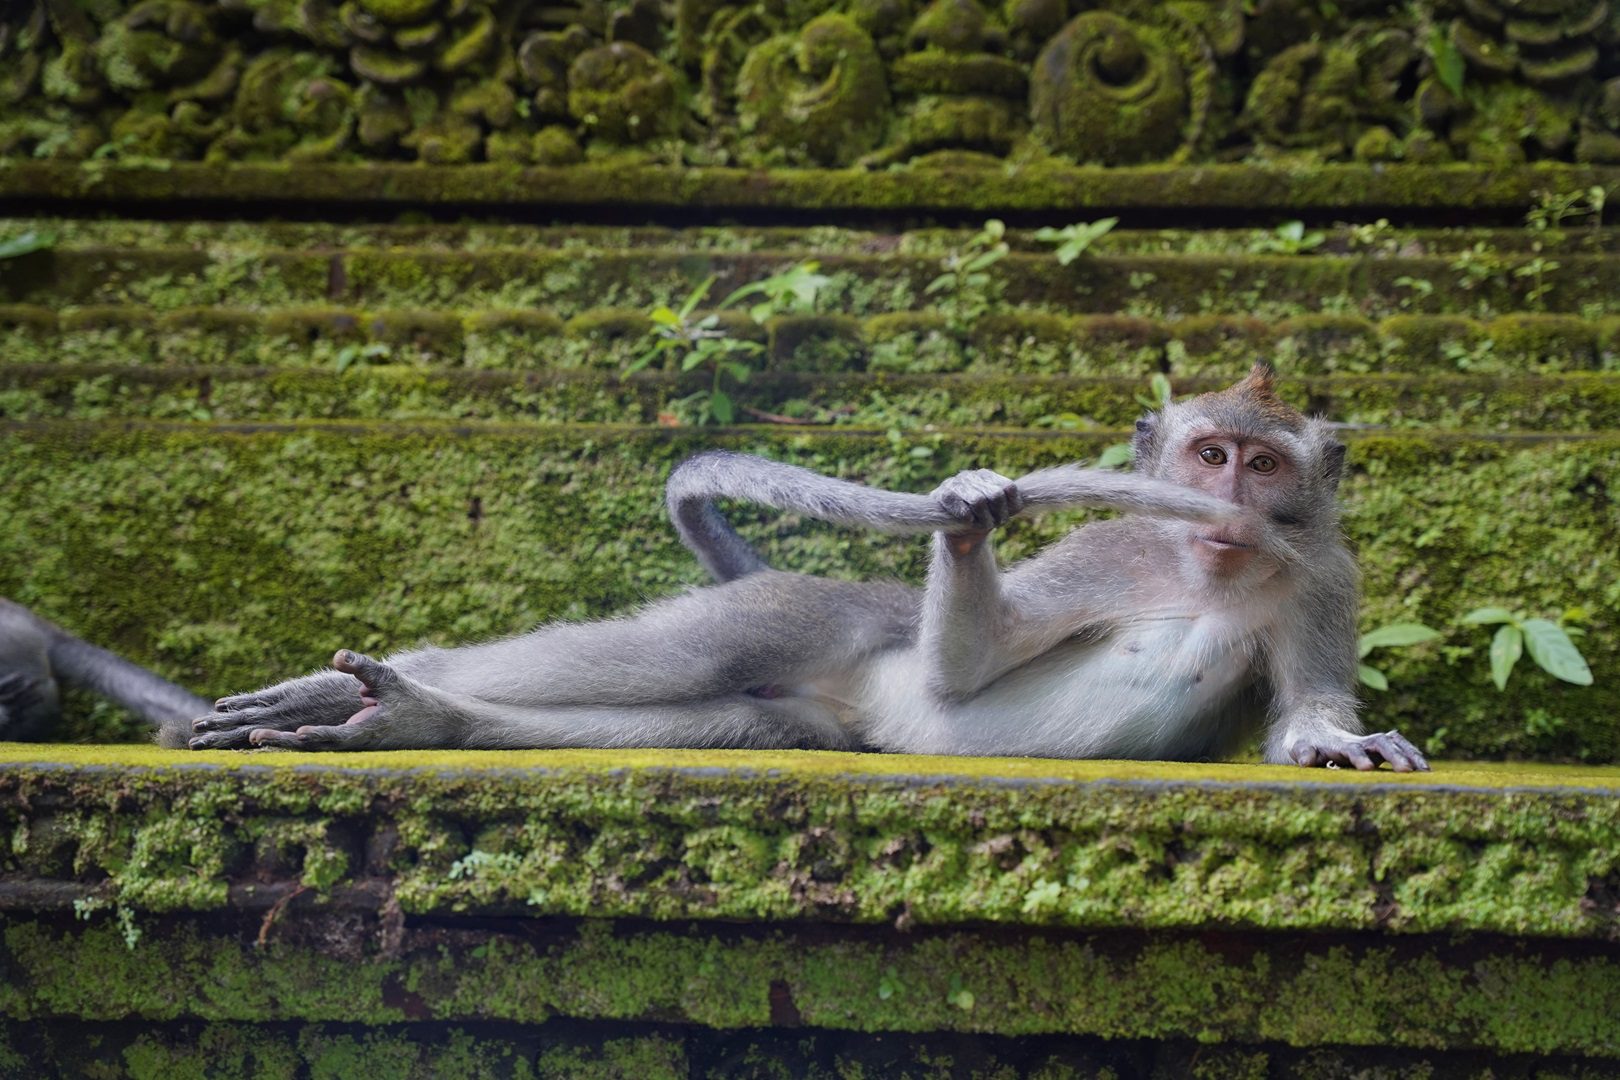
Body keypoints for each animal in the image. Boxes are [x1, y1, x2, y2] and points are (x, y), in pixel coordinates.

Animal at [170, 367, 1425, 773]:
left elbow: (1309, 702)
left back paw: (420, 720)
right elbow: (973, 668)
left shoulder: (1324, 576)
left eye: (1263, 462)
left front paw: (1338, 742)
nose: (1232, 506)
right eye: (1210, 455)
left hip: (816, 721)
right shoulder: (1107, 551)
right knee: (683, 654)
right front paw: (972, 513)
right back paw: (376, 690)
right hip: (811, 613)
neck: (1207, 573)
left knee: (721, 715)